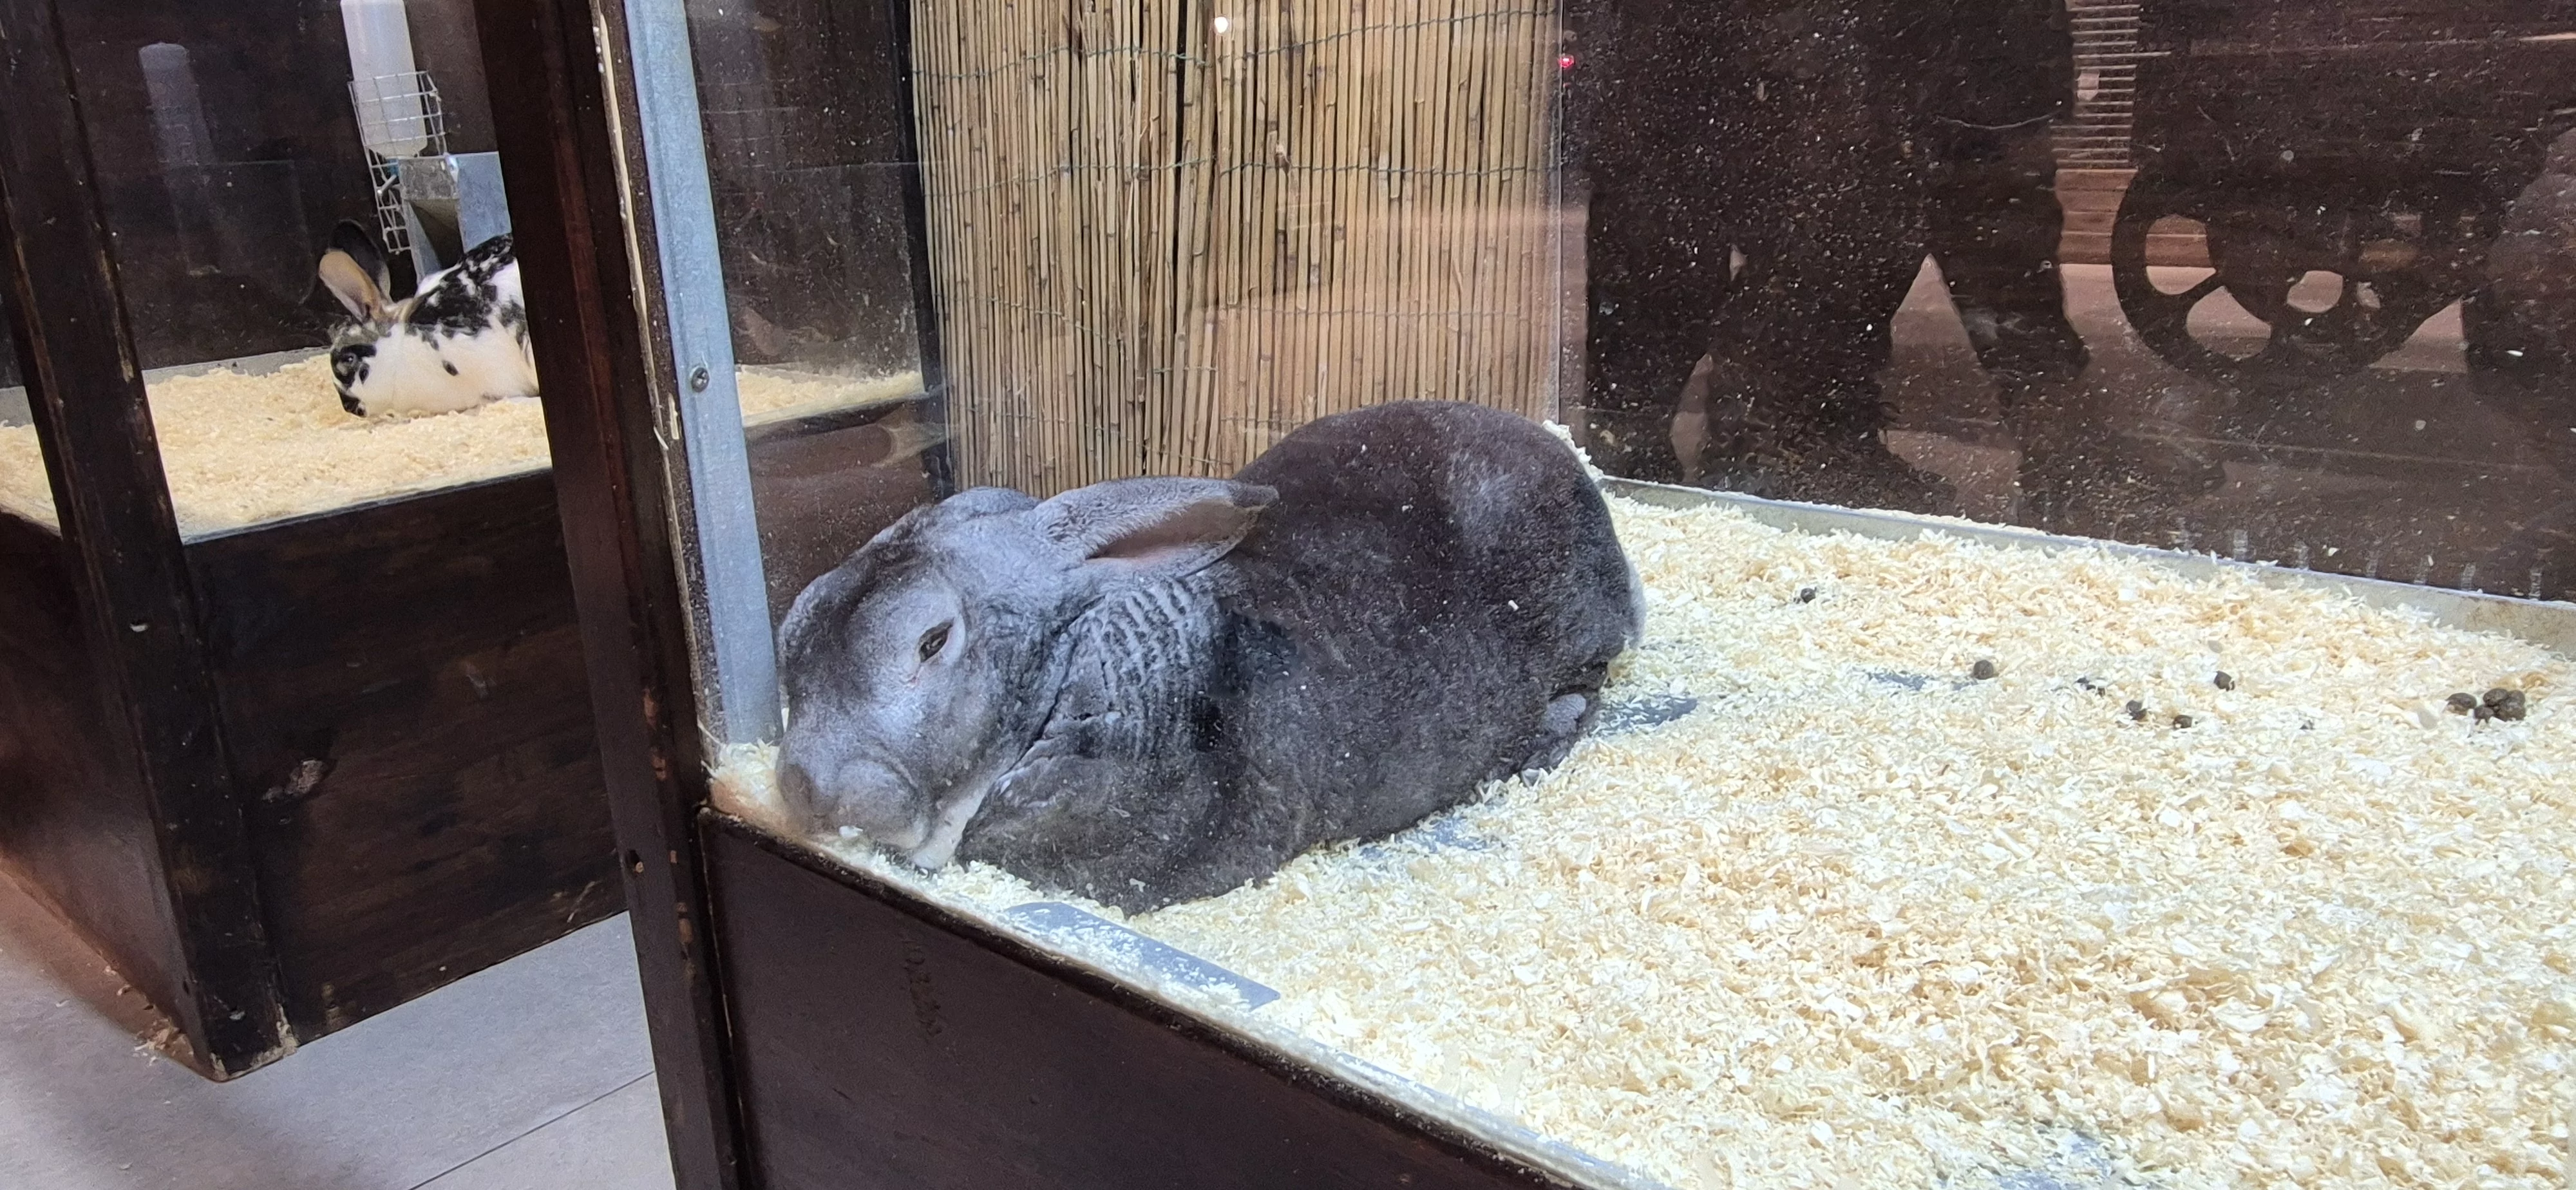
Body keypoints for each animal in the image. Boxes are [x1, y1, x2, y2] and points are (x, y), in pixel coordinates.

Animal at [775, 400, 1645, 913]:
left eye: (930, 642)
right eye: (791, 634)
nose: (803, 787)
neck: (1072, 681)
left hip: (1570, 636)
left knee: (1585, 689)